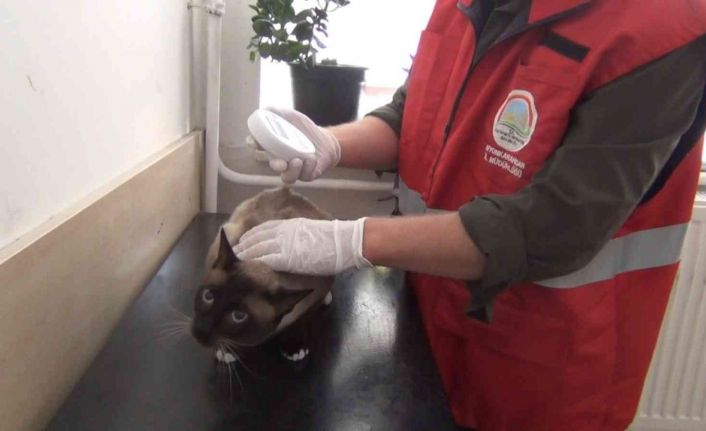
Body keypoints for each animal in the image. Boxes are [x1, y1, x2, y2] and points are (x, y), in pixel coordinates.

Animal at [191, 186, 334, 367]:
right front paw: (228, 351)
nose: (201, 330)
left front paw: (294, 347)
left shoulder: (314, 297)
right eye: (208, 296)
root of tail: (285, 189)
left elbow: (299, 322)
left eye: (239, 316)